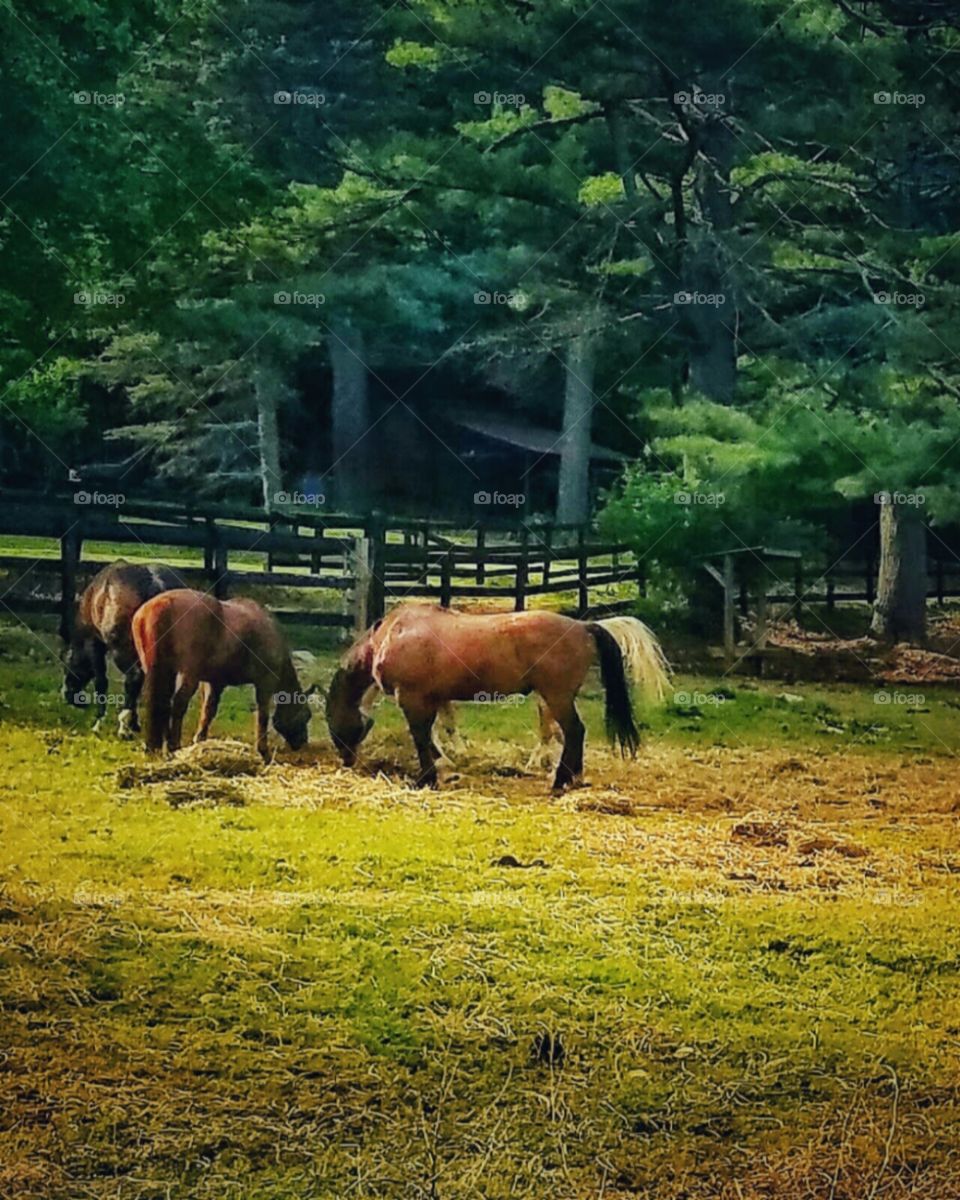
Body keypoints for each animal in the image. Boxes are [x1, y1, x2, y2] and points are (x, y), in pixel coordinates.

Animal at [60, 559, 186, 734]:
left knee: (134, 677)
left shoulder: (95, 644)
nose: (68, 694)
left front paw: (100, 721)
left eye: (66, 663)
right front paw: (135, 723)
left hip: (122, 651)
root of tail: (156, 583)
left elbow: (101, 681)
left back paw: (124, 727)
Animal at [130, 585, 312, 753]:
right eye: (306, 714)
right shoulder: (265, 682)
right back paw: (173, 745)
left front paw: (200, 739)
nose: (302, 742)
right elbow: (262, 714)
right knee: (178, 705)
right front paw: (262, 749)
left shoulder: (214, 682)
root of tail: (162, 604)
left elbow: (208, 710)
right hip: (188, 675)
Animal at [321, 604, 667, 792]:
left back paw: (559, 781)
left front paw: (427, 778)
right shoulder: (436, 698)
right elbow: (439, 733)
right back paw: (570, 779)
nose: (346, 759)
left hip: (556, 698)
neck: (393, 634)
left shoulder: (413, 700)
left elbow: (421, 737)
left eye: (331, 721)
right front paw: (445, 764)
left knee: (574, 732)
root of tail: (583, 626)